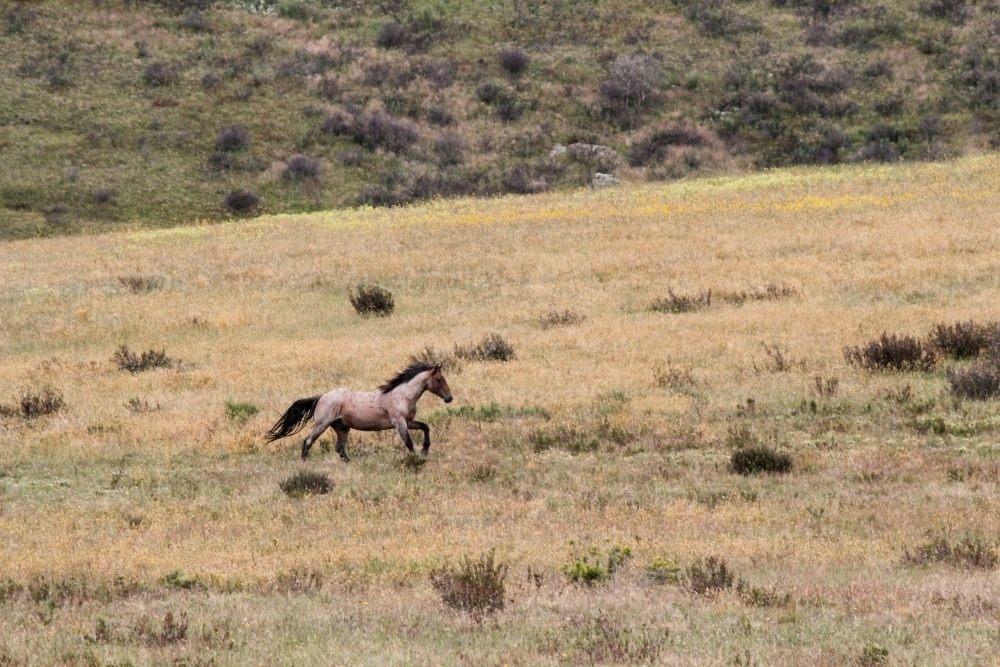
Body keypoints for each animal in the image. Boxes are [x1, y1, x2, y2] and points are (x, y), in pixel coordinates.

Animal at [265, 361, 453, 461]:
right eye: (439, 379)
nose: (449, 397)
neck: (403, 395)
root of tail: (322, 397)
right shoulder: (399, 423)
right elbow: (408, 442)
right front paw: (415, 459)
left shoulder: (409, 422)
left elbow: (425, 427)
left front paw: (425, 451)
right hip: (322, 424)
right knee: (308, 441)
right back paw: (303, 462)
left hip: (342, 428)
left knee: (340, 449)